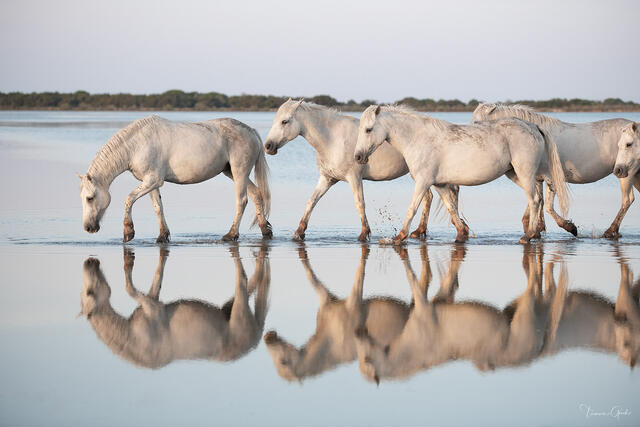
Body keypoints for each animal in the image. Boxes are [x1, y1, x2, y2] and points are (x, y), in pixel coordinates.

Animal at [78, 115, 272, 243]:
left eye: (90, 198)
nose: (88, 228)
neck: (136, 145)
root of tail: (252, 132)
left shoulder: (153, 180)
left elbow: (129, 199)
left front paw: (128, 232)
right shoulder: (150, 183)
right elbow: (158, 207)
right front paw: (163, 236)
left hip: (240, 172)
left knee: (242, 200)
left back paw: (231, 235)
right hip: (232, 172)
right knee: (256, 195)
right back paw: (265, 231)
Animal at [79, 245, 270, 369]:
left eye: (89, 292)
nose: (90, 263)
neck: (132, 338)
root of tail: (256, 338)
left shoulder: (153, 308)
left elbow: (130, 289)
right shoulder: (152, 300)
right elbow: (156, 278)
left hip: (239, 309)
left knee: (243, 281)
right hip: (229, 308)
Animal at [263, 99, 460, 241]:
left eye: (285, 121)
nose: (268, 146)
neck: (332, 139)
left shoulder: (354, 178)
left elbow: (360, 203)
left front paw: (364, 234)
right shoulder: (327, 179)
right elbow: (311, 201)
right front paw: (299, 232)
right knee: (429, 198)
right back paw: (419, 231)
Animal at [354, 105, 569, 244]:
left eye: (368, 129)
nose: (358, 157)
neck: (418, 138)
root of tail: (533, 126)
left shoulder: (423, 182)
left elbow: (412, 209)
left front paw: (399, 237)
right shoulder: (439, 184)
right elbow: (451, 208)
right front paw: (461, 234)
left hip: (525, 173)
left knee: (534, 200)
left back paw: (528, 236)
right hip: (515, 174)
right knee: (541, 196)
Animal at [473, 103, 635, 238]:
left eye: (477, 123)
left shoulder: (548, 177)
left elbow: (547, 206)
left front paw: (569, 227)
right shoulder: (536, 178)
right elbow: (539, 201)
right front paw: (535, 230)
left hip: (626, 174)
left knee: (627, 200)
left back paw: (610, 231)